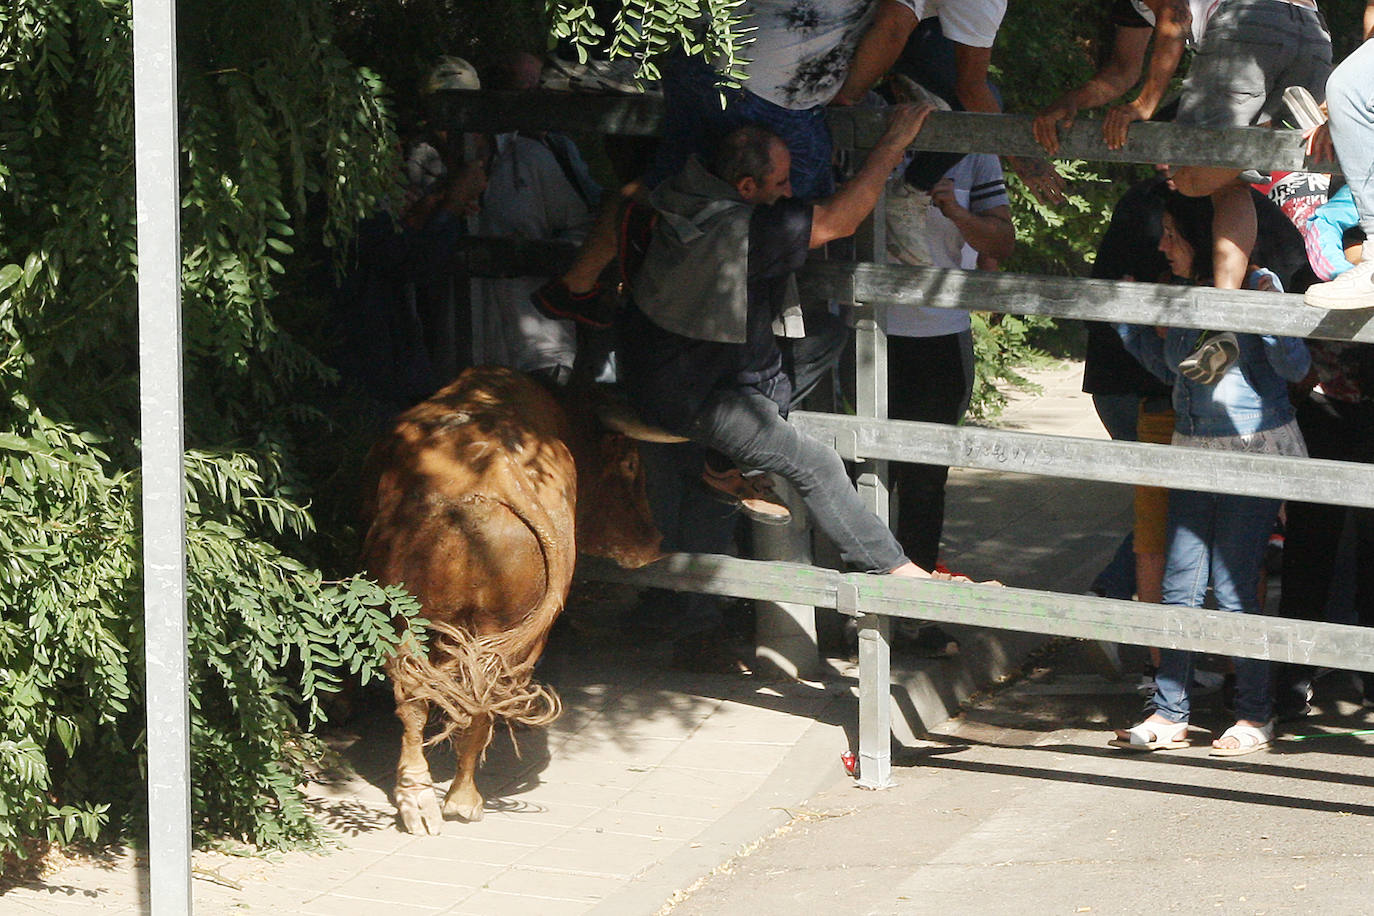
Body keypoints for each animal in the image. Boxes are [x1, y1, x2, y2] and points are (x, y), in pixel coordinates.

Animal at [359, 365, 659, 829]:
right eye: (630, 463)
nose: (654, 543)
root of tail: (497, 470)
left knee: (428, 695)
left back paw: (433, 799)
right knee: (463, 693)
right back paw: (449, 799)